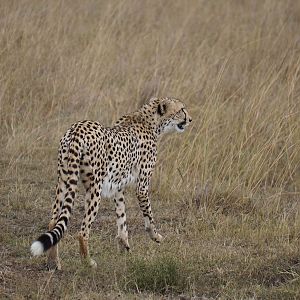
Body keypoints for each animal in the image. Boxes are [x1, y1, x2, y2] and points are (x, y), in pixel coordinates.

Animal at [31, 96, 192, 270]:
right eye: (181, 109)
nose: (190, 119)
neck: (150, 121)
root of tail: (76, 129)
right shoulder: (142, 186)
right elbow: (149, 216)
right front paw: (156, 236)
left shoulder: (118, 187)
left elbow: (122, 218)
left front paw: (125, 247)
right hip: (94, 188)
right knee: (82, 231)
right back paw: (88, 262)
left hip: (63, 181)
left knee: (53, 222)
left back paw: (53, 262)